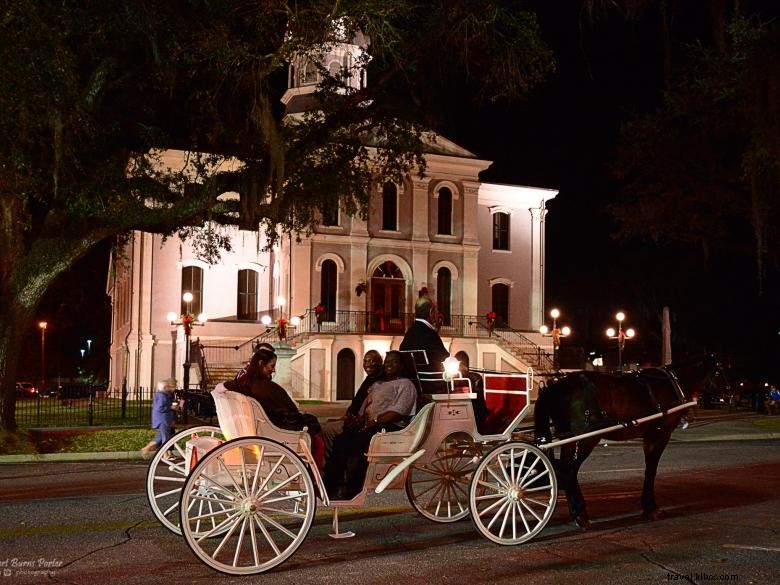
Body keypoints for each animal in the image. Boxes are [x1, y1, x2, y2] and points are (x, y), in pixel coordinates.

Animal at [532, 354, 724, 528]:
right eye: (719, 372)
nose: (727, 394)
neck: (673, 382)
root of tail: (555, 387)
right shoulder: (660, 435)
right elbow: (651, 470)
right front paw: (650, 508)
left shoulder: (649, 437)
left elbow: (649, 470)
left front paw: (647, 506)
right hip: (587, 438)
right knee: (569, 470)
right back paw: (580, 514)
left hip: (569, 438)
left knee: (565, 470)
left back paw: (577, 512)